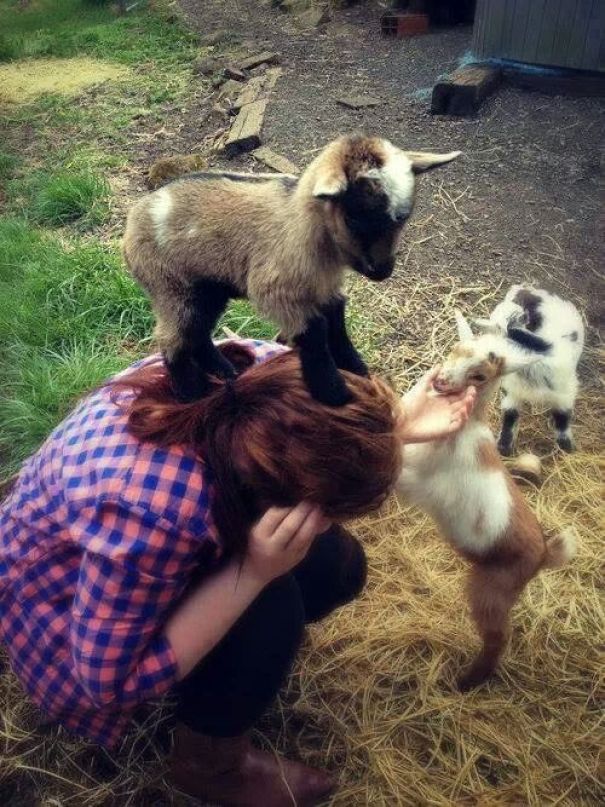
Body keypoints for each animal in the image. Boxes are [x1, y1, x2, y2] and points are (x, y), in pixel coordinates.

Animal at [122, 135, 460, 405]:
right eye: (354, 218)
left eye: (404, 218)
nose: (382, 271)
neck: (305, 223)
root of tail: (132, 222)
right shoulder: (276, 290)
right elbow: (316, 331)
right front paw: (333, 392)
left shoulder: (325, 288)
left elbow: (336, 319)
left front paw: (355, 368)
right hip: (170, 285)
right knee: (173, 338)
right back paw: (193, 392)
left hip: (207, 287)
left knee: (198, 330)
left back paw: (224, 370)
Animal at [396, 310, 576, 690]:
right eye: (455, 348)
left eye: (480, 375)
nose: (442, 381)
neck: (464, 430)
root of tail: (543, 554)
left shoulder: (416, 480)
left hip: (493, 590)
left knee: (498, 637)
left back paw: (467, 682)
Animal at [472, 284, 585, 455]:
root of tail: (527, 290)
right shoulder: (513, 391)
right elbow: (510, 416)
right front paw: (504, 447)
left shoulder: (565, 393)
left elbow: (562, 418)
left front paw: (567, 447)